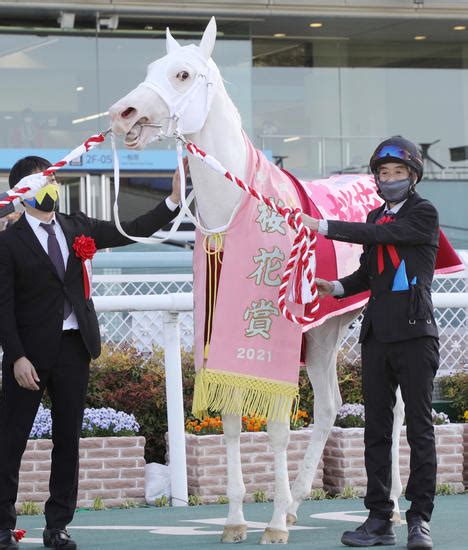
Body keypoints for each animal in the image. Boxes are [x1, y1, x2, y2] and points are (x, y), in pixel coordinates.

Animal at [109, 18, 402, 548]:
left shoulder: (274, 339)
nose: (124, 114)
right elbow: (229, 421)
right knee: (330, 406)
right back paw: (299, 501)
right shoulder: (215, 333)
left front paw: (273, 525)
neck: (238, 208)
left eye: (182, 74)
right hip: (327, 329)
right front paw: (236, 518)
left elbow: (279, 428)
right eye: (151, 67)